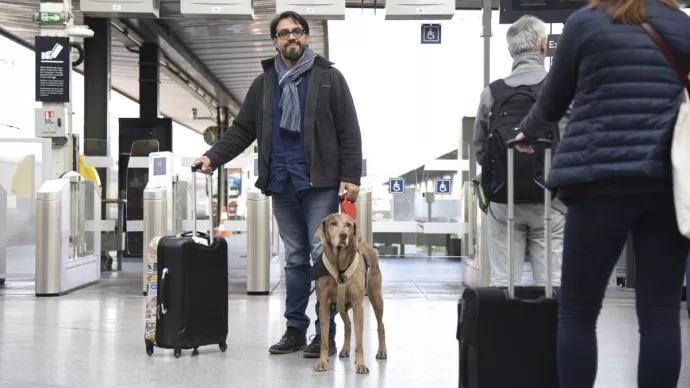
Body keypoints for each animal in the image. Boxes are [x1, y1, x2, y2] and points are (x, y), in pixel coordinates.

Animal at [314, 214, 388, 374]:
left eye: (348, 224)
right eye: (333, 224)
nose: (344, 235)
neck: (339, 268)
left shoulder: (357, 305)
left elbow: (359, 341)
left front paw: (361, 364)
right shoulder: (324, 305)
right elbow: (324, 340)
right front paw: (322, 362)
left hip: (376, 297)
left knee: (381, 325)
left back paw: (381, 351)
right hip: (341, 306)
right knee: (348, 325)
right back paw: (345, 349)